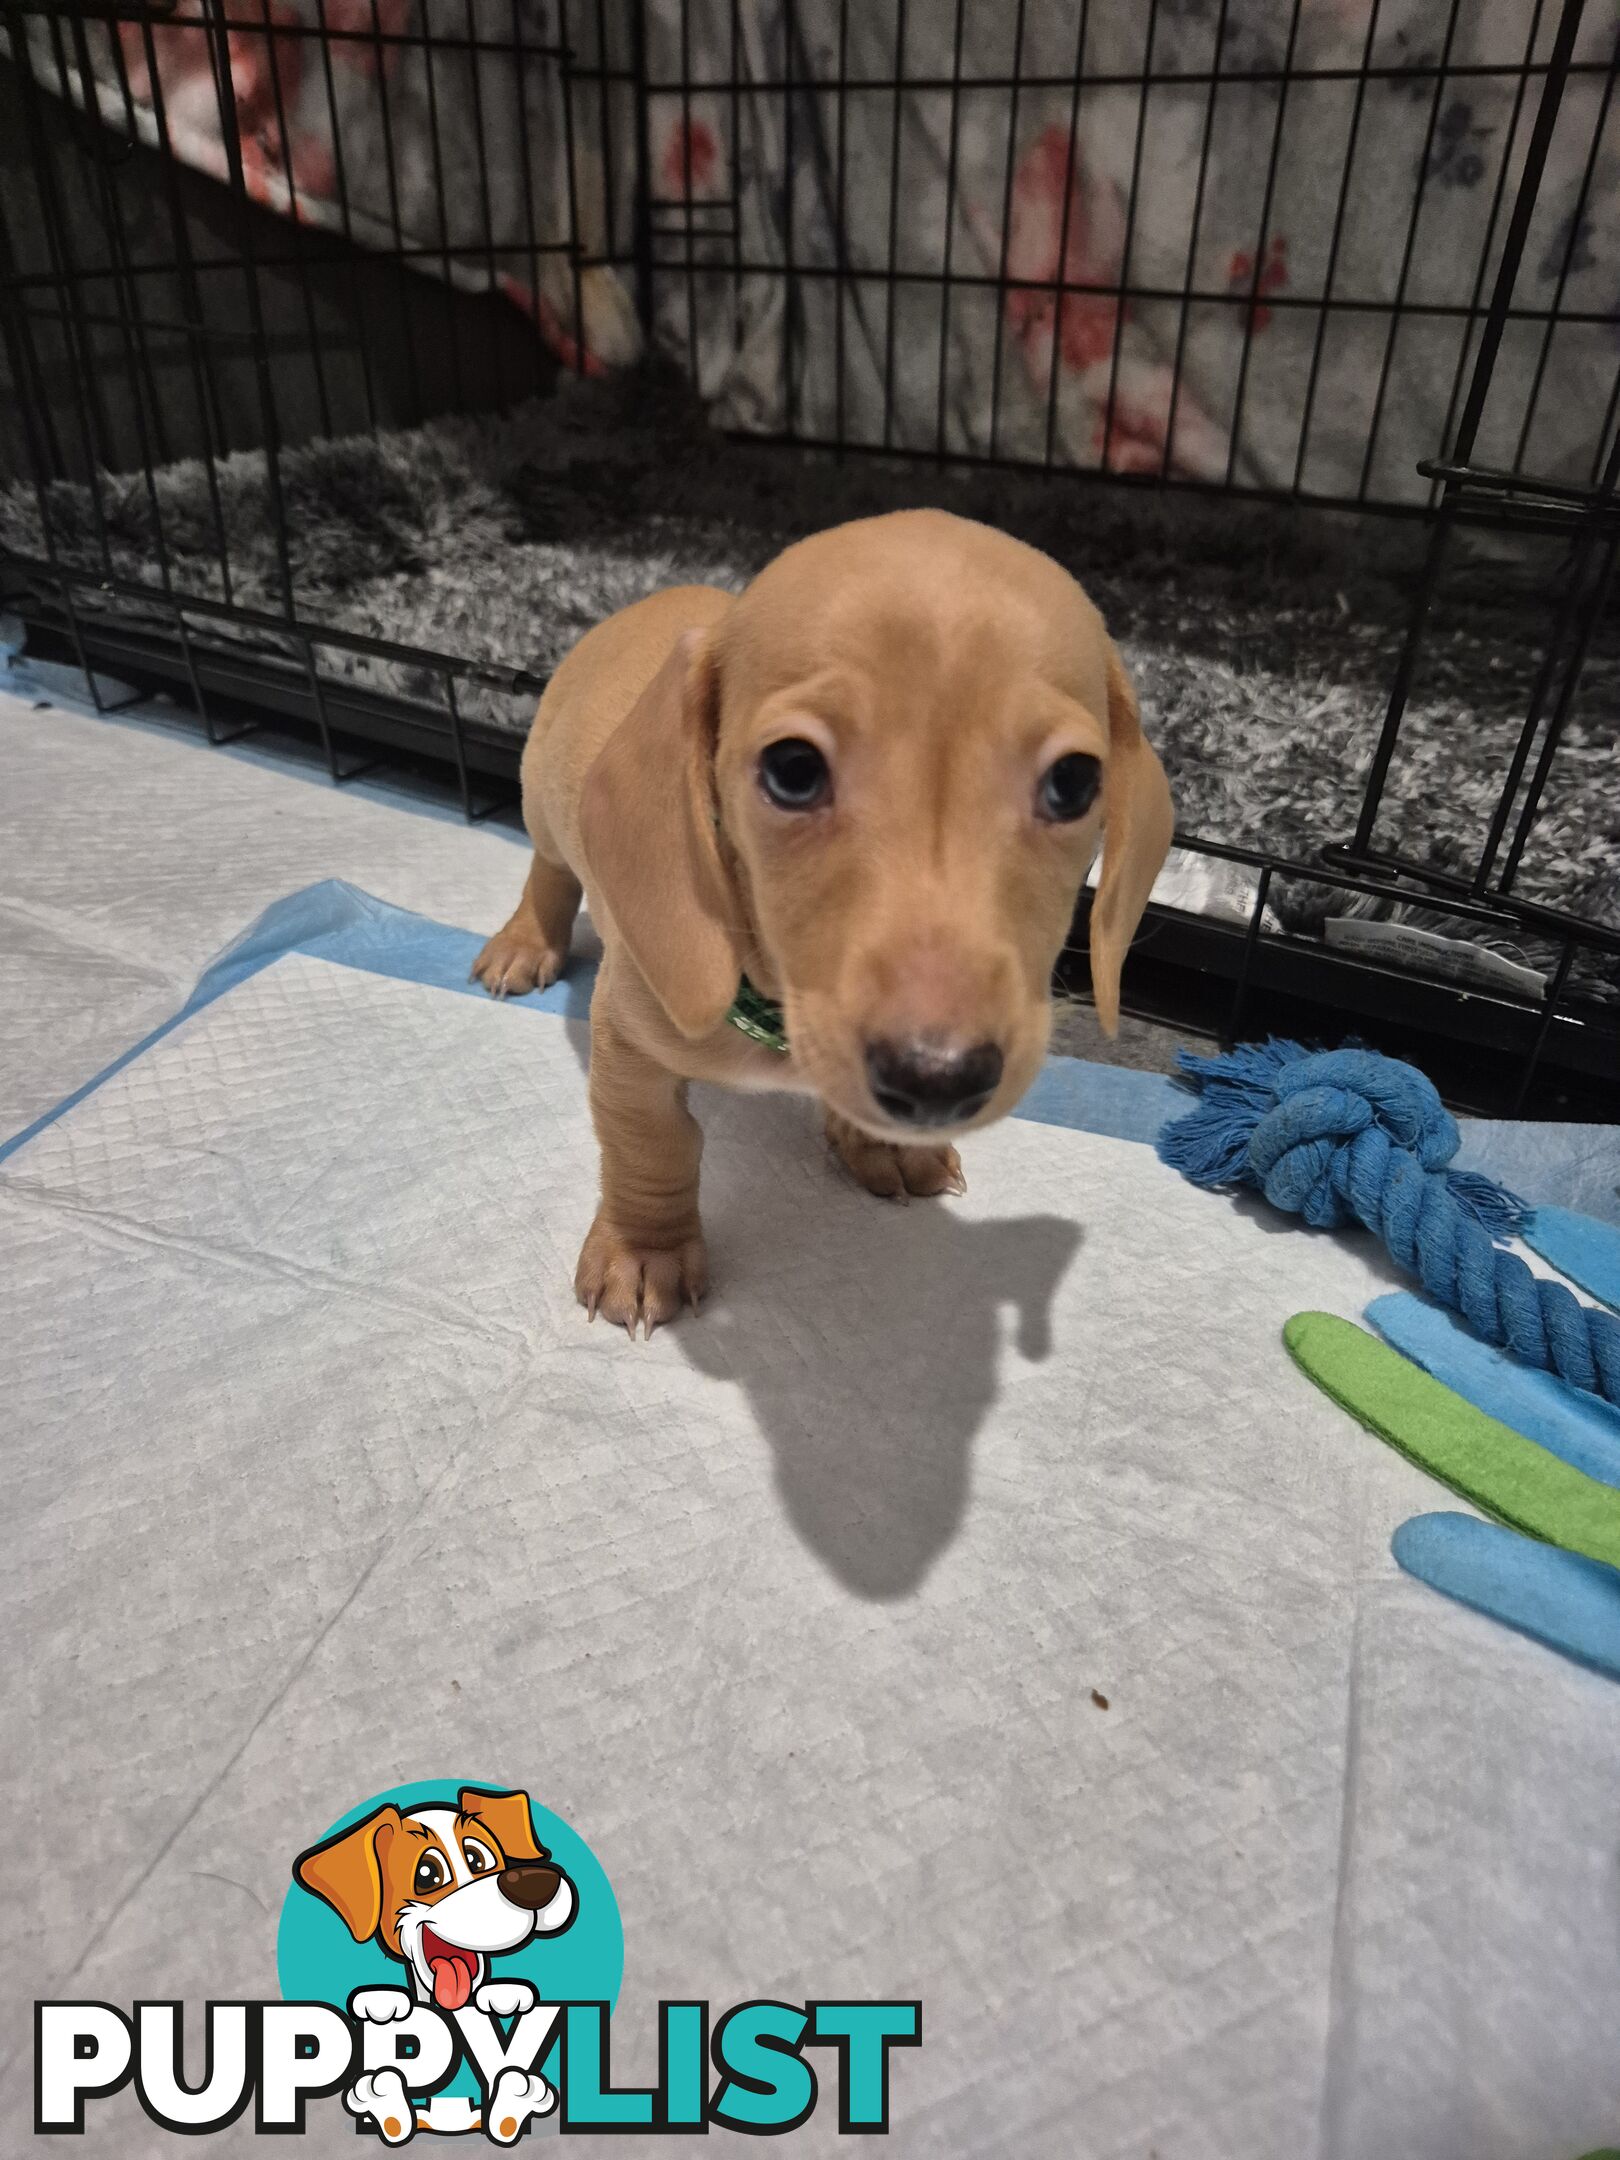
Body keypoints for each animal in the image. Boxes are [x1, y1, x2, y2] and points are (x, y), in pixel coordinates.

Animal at [475, 514, 1175, 1339]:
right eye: (793, 769)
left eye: (1074, 782)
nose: (937, 1080)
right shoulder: (628, 1039)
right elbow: (651, 1145)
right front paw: (644, 1253)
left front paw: (880, 1143)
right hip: (541, 799)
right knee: (548, 870)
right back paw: (525, 943)